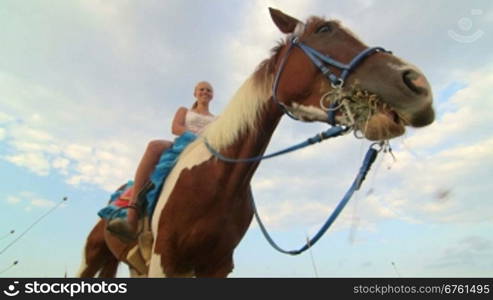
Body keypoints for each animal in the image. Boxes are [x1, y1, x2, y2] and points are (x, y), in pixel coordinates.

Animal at [76, 7, 430, 278]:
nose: (416, 84)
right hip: (94, 259)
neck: (216, 181)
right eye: (324, 30)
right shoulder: (165, 262)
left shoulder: (216, 268)